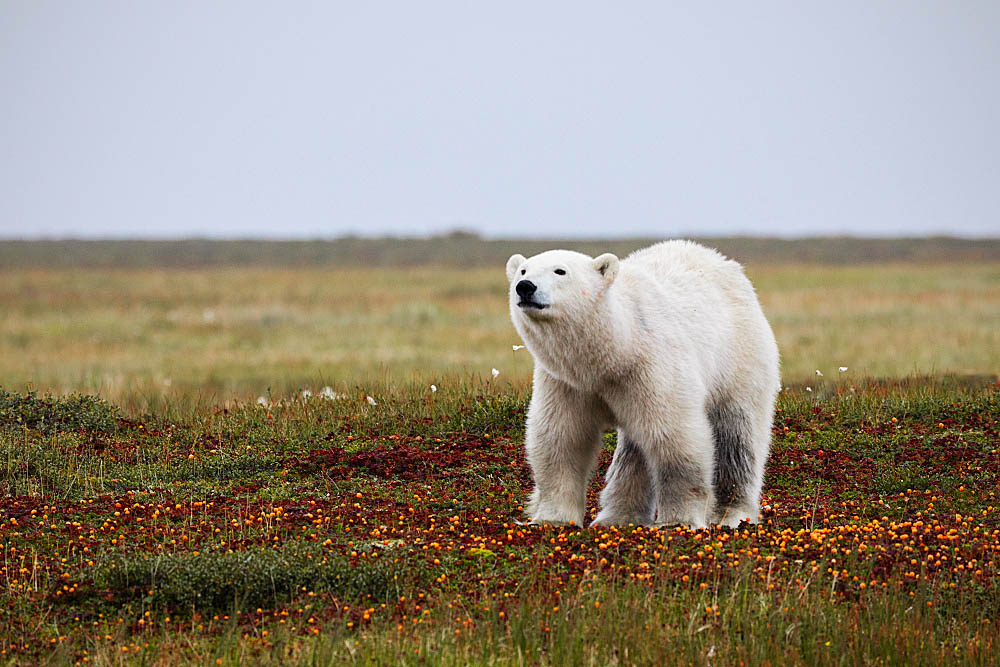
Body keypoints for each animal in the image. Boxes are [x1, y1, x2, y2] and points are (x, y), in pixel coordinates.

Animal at [508, 239, 780, 528]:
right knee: (634, 450)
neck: (619, 348)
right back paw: (617, 516)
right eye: (523, 270)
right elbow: (560, 436)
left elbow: (674, 436)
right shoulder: (566, 382)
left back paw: (733, 513)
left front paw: (678, 521)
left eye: (560, 271)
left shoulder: (652, 366)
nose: (525, 287)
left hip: (740, 357)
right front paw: (551, 519)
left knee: (737, 437)